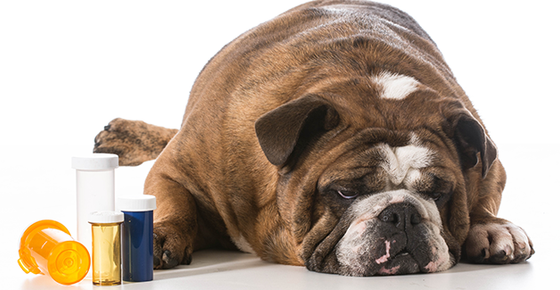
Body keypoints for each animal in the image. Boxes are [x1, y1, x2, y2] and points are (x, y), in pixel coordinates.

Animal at [94, 0, 532, 276]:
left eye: (439, 193)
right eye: (345, 192)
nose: (401, 213)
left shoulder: (489, 161)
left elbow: (479, 196)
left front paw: (489, 226)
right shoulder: (178, 168)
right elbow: (173, 200)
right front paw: (158, 233)